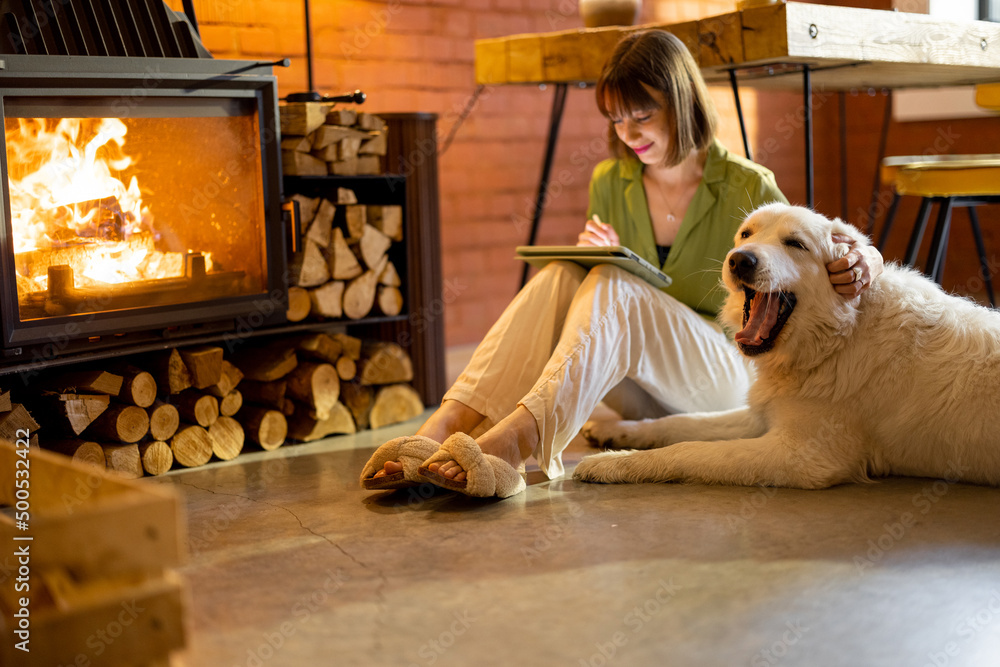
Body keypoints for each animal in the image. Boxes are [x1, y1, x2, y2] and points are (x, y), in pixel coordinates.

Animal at [576, 201, 1000, 488]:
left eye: (795, 244)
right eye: (746, 234)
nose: (740, 260)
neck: (836, 338)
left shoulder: (799, 455)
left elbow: (690, 450)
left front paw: (615, 464)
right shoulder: (762, 416)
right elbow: (682, 423)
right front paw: (623, 433)